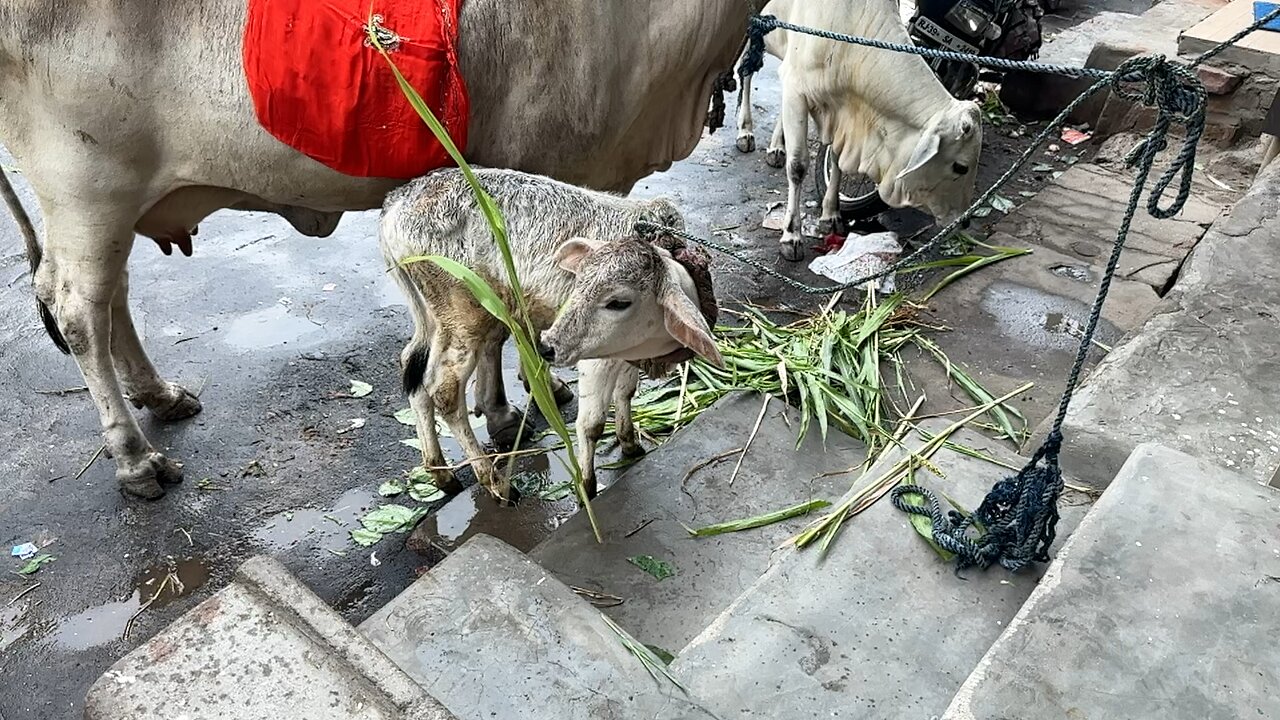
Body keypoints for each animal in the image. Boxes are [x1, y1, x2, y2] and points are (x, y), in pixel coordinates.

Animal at [376, 169, 721, 499]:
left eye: (619, 301)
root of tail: (398, 200)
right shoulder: (596, 356)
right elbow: (592, 424)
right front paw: (586, 488)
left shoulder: (627, 353)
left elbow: (625, 393)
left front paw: (631, 444)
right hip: (465, 317)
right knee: (443, 389)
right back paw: (495, 482)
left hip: (439, 319)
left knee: (414, 368)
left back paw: (441, 472)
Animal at [737, 0, 983, 260]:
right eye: (961, 167)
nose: (965, 221)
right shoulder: (797, 88)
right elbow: (797, 167)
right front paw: (792, 236)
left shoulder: (839, 112)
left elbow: (836, 159)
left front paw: (831, 215)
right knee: (746, 69)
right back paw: (745, 131)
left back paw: (776, 147)